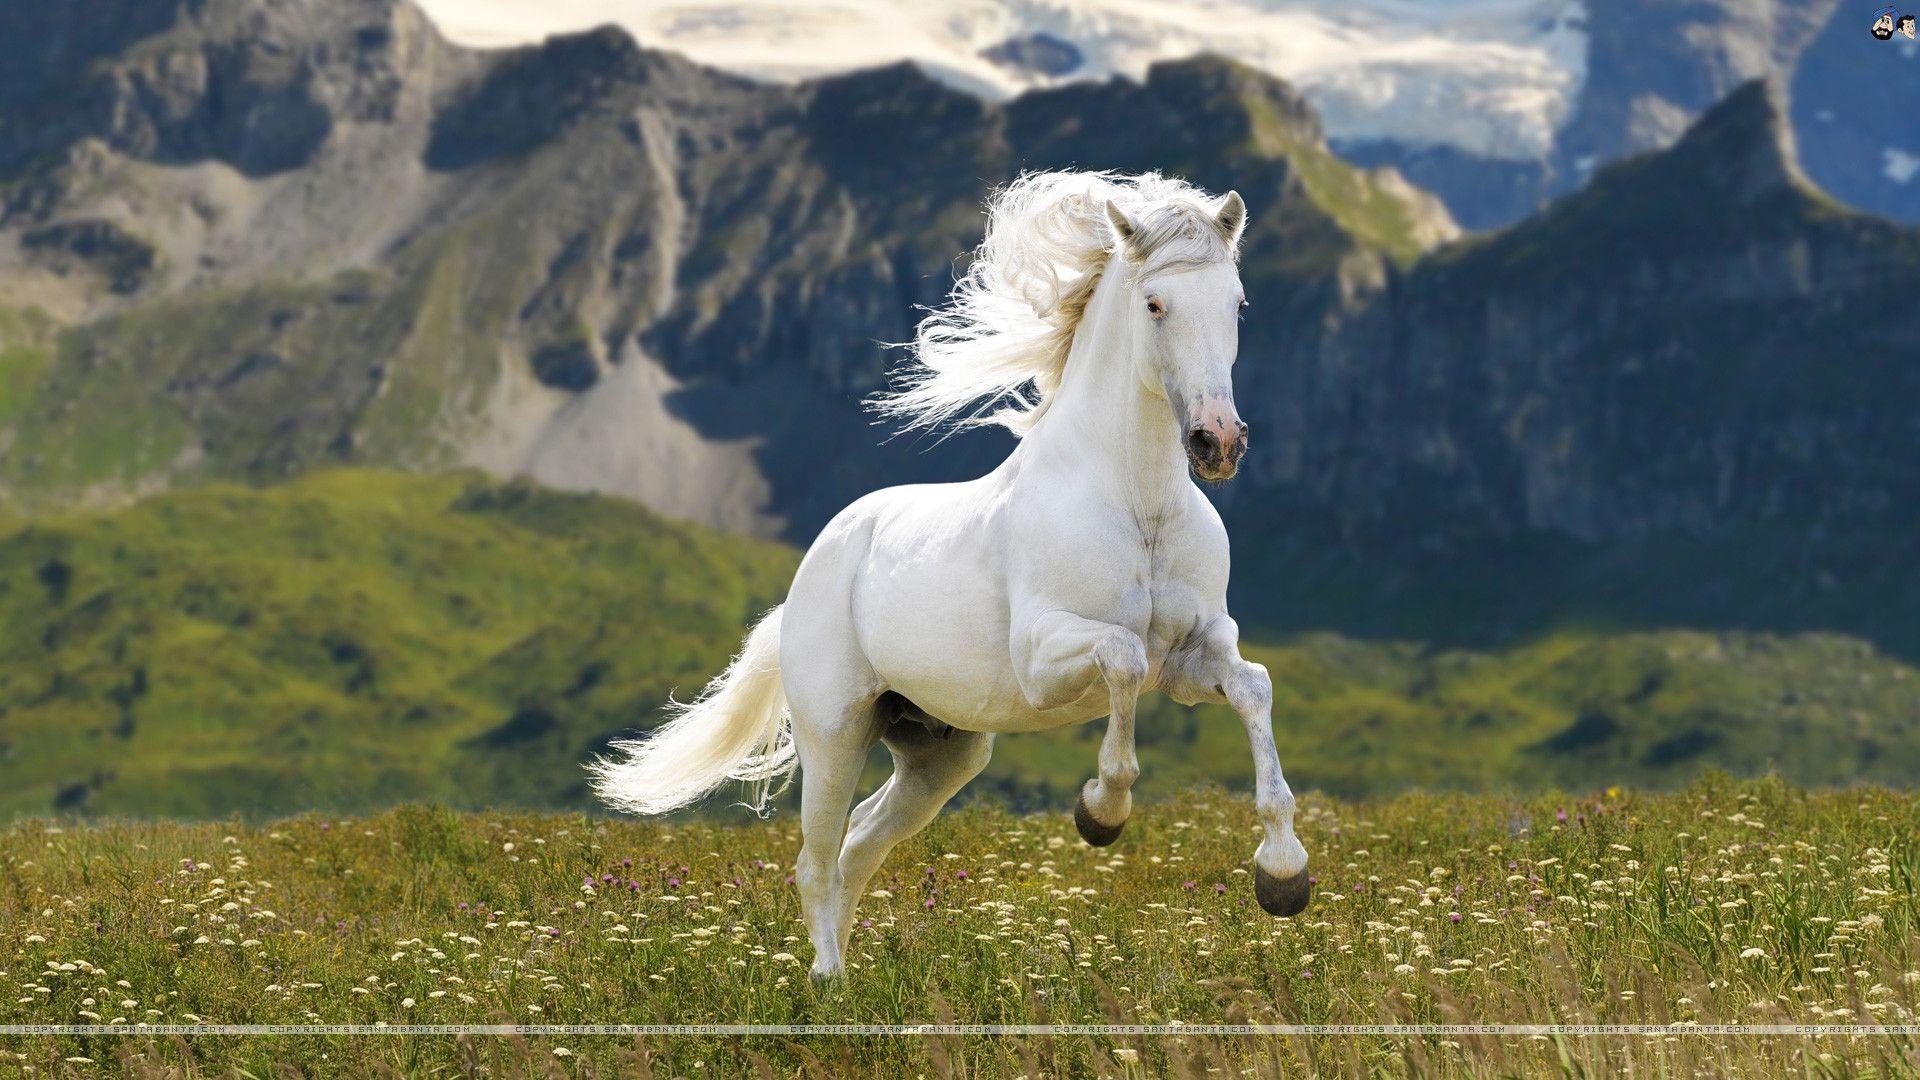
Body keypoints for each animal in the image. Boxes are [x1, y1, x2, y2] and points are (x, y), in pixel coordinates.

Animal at [590, 170, 1310, 980]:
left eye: (1237, 302)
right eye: (1156, 303)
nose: (1218, 442)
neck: (1137, 505)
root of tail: (806, 579)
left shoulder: (1192, 657)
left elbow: (1254, 687)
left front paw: (1284, 876)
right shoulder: (1045, 657)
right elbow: (1123, 658)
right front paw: (1101, 812)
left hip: (940, 752)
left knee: (860, 843)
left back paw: (847, 981)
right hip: (835, 733)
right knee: (815, 859)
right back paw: (827, 982)